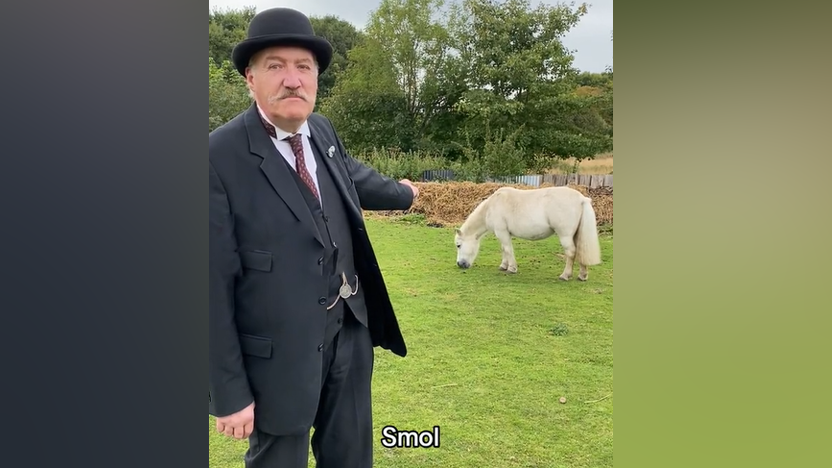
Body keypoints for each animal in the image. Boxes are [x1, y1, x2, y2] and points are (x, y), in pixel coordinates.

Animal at [456, 186, 604, 282]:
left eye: (458, 245)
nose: (460, 264)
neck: (492, 206)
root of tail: (582, 199)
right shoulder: (504, 234)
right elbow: (504, 249)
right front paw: (503, 266)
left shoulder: (502, 232)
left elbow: (508, 250)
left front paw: (512, 268)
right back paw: (582, 275)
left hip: (565, 236)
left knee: (571, 252)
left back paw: (565, 275)